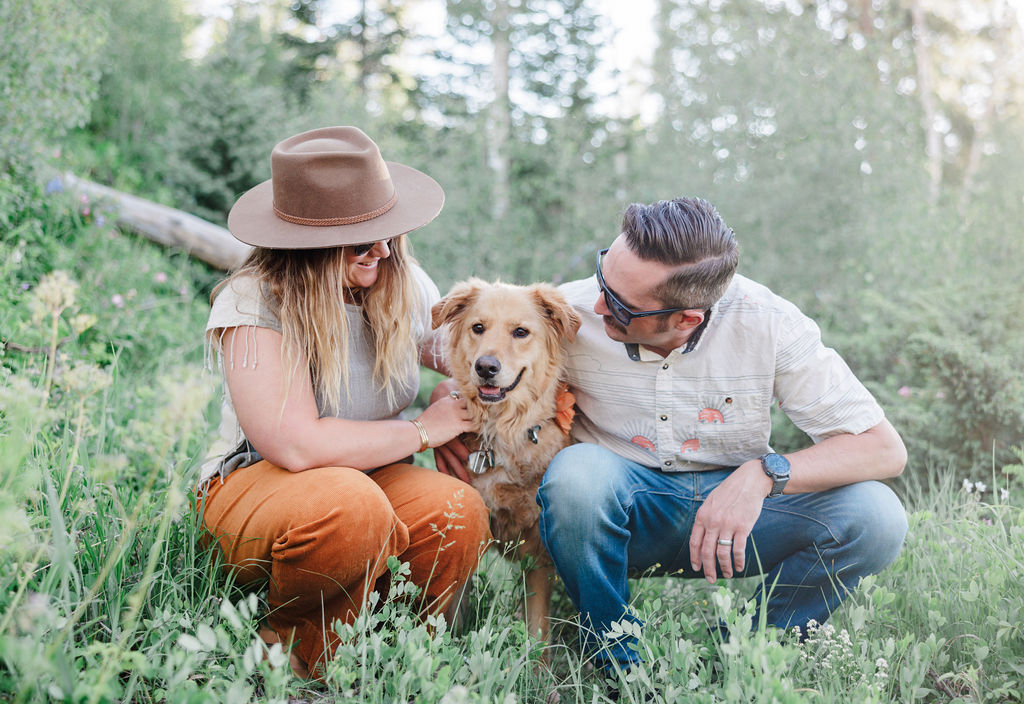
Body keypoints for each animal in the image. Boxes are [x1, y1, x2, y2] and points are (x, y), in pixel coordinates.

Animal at [428, 278, 581, 642]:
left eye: (521, 332)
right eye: (478, 328)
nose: (485, 367)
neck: (499, 433)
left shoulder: (538, 554)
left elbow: (537, 629)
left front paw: (534, 659)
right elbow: (450, 612)